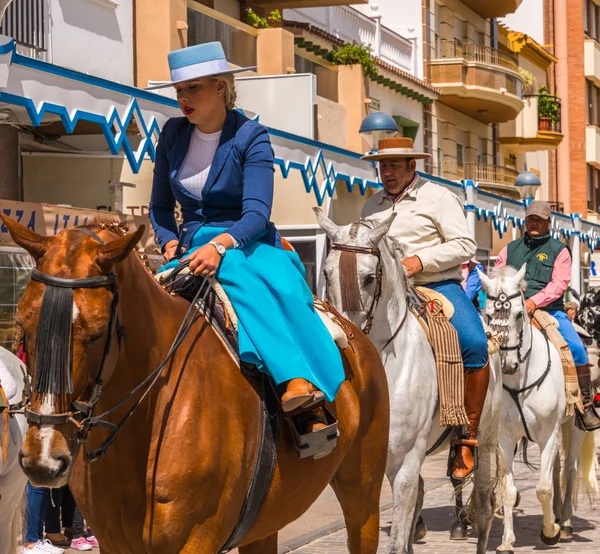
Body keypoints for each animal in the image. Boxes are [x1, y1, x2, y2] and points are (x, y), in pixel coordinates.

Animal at [2, 215, 390, 552]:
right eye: (23, 324)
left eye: (96, 333)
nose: (43, 460)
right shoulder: (114, 544)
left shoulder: (196, 540)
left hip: (364, 496)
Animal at [316, 208, 504, 552]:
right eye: (326, 273)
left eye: (369, 278)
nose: (343, 341)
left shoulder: (403, 463)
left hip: (486, 439)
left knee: (484, 507)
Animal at [480, 266, 596, 548]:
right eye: (488, 315)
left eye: (519, 313)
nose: (507, 363)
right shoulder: (504, 438)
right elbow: (510, 491)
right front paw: (507, 541)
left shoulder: (548, 434)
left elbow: (543, 488)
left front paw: (550, 531)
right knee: (555, 471)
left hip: (573, 428)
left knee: (569, 470)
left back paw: (564, 523)